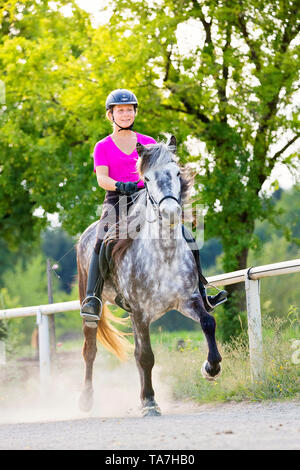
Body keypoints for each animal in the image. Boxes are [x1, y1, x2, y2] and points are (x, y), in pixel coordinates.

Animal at [77, 138, 223, 416]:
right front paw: (150, 403)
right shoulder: (140, 312)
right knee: (90, 349)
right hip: (95, 304)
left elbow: (208, 322)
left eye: (176, 173)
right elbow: (146, 356)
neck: (164, 254)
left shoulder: (187, 301)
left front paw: (211, 368)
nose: (171, 212)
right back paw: (87, 400)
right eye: (146, 179)